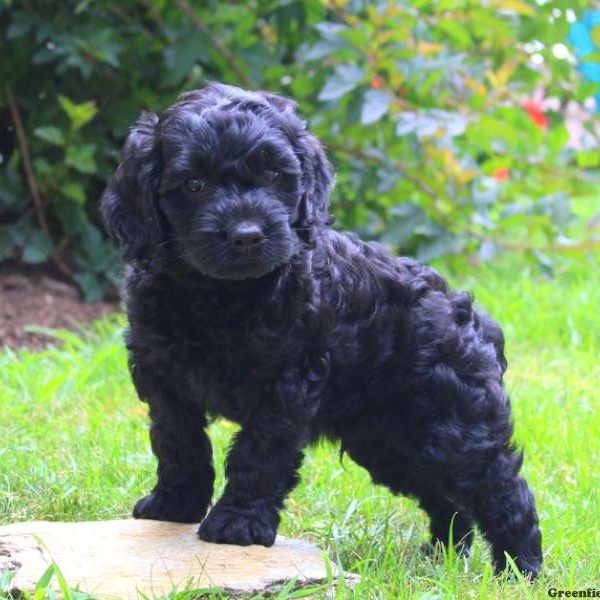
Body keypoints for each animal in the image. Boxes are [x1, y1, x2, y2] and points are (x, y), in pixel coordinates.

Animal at [101, 83, 540, 576]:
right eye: (194, 184)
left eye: (274, 175)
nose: (247, 235)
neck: (221, 294)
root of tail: (469, 314)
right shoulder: (162, 375)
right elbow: (178, 440)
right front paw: (175, 504)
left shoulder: (287, 382)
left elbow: (260, 453)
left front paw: (237, 525)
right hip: (387, 438)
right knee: (443, 493)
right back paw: (441, 557)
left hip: (450, 421)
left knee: (500, 485)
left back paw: (520, 571)